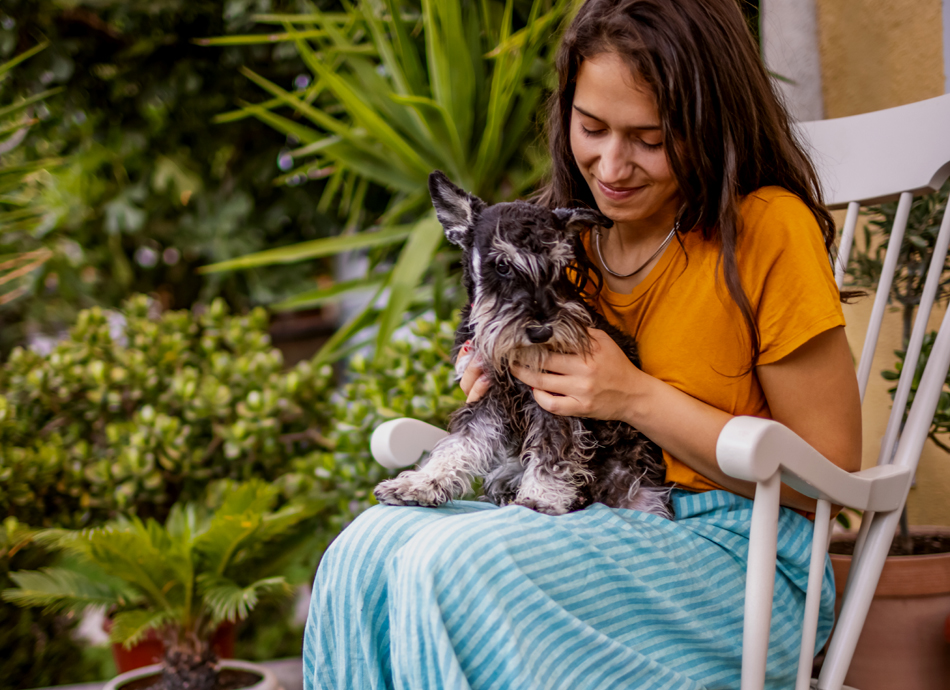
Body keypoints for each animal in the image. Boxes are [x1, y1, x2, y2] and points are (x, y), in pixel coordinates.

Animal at [376, 172, 672, 516]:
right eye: (502, 265)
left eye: (559, 264)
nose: (542, 332)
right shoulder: (488, 395)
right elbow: (460, 443)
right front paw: (420, 484)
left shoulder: (556, 401)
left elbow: (553, 451)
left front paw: (541, 497)